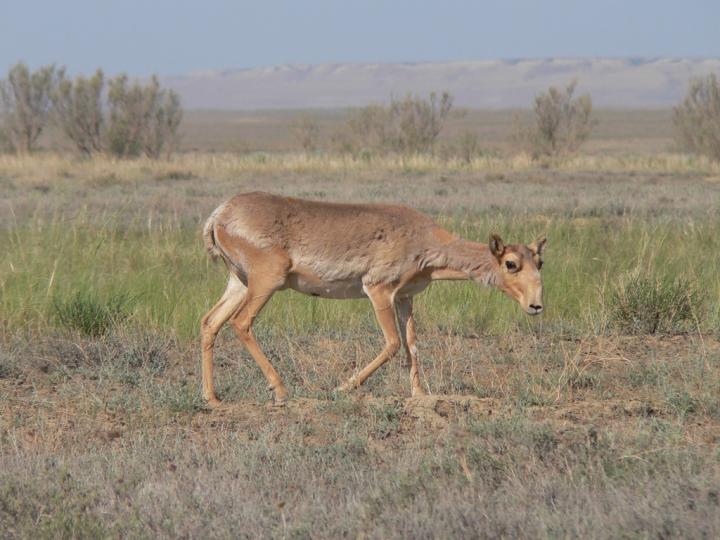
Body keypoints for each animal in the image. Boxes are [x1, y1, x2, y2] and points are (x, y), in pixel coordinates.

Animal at [200, 191, 544, 404]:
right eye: (510, 263)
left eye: (539, 261)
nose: (536, 305)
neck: (424, 238)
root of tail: (218, 215)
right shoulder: (379, 290)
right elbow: (392, 344)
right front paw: (343, 386)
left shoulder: (405, 298)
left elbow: (412, 344)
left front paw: (420, 395)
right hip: (265, 282)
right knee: (241, 322)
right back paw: (282, 390)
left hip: (239, 283)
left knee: (209, 322)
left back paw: (212, 398)